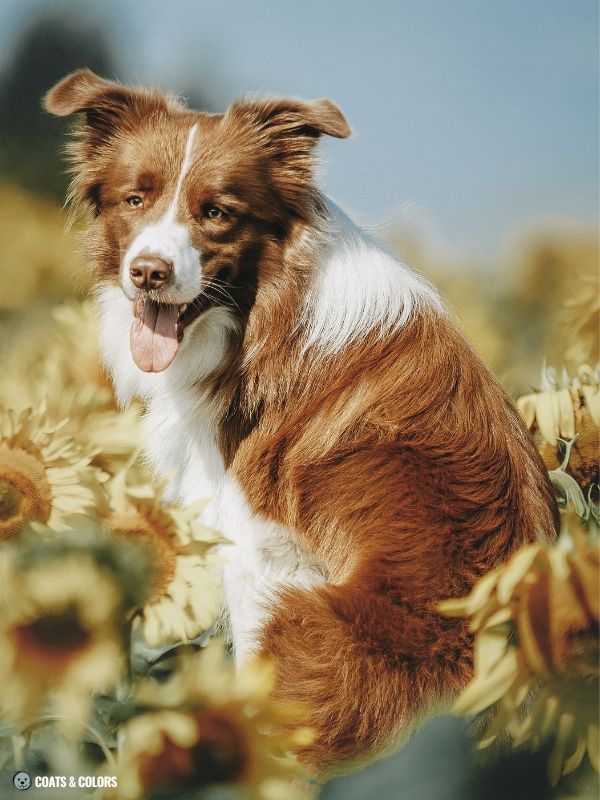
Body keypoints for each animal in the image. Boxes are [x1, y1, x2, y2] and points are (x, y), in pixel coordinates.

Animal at [43, 72, 556, 772]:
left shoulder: (258, 555)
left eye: (217, 212)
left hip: (307, 624)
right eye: (135, 198)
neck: (262, 316)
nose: (149, 272)